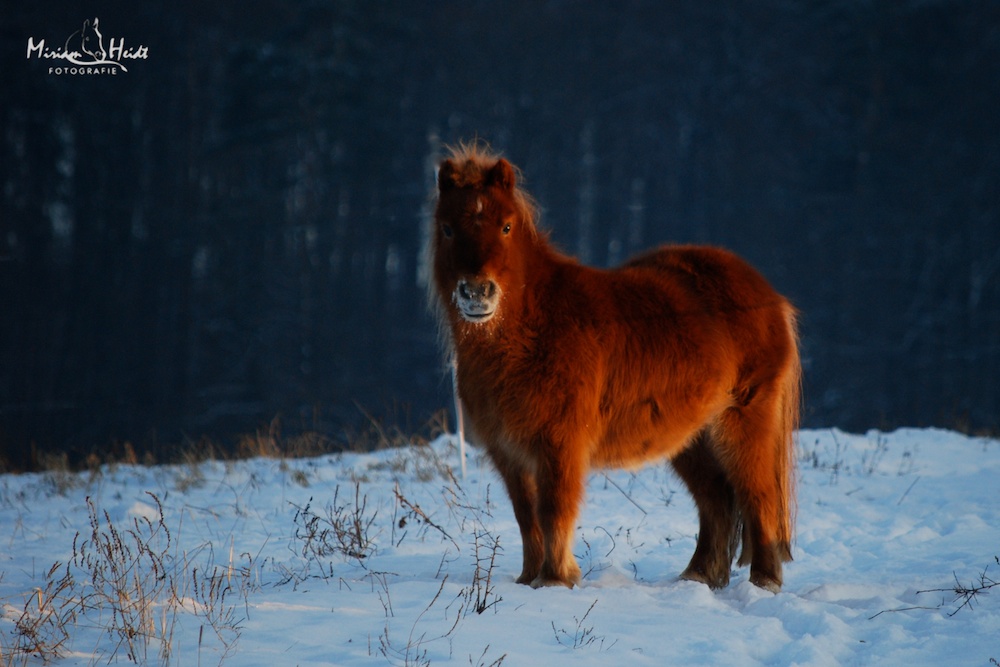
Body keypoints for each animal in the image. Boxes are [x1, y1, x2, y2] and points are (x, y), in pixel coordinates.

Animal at [426, 144, 800, 592]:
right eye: (448, 229)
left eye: (506, 227)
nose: (477, 293)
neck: (535, 324)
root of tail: (769, 295)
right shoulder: (509, 452)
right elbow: (526, 515)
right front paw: (528, 580)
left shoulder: (560, 443)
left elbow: (554, 509)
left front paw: (555, 580)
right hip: (692, 438)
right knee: (717, 499)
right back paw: (697, 578)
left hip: (744, 422)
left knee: (758, 496)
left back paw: (763, 583)